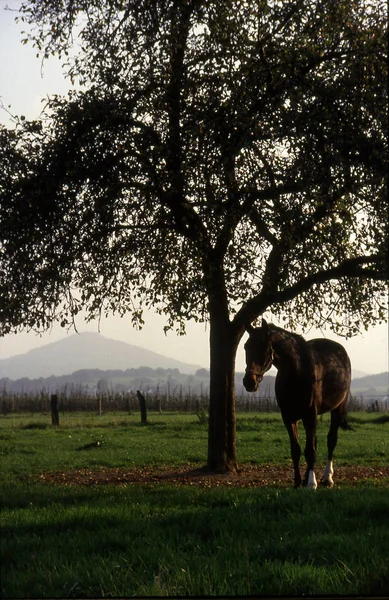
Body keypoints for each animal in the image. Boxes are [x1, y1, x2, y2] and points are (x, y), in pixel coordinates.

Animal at [241, 318, 350, 488]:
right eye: (246, 347)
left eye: (264, 347)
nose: (249, 382)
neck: (296, 372)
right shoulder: (288, 417)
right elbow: (296, 449)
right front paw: (298, 481)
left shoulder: (310, 414)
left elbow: (310, 450)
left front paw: (312, 483)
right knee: (314, 442)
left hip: (338, 407)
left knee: (331, 440)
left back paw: (327, 477)